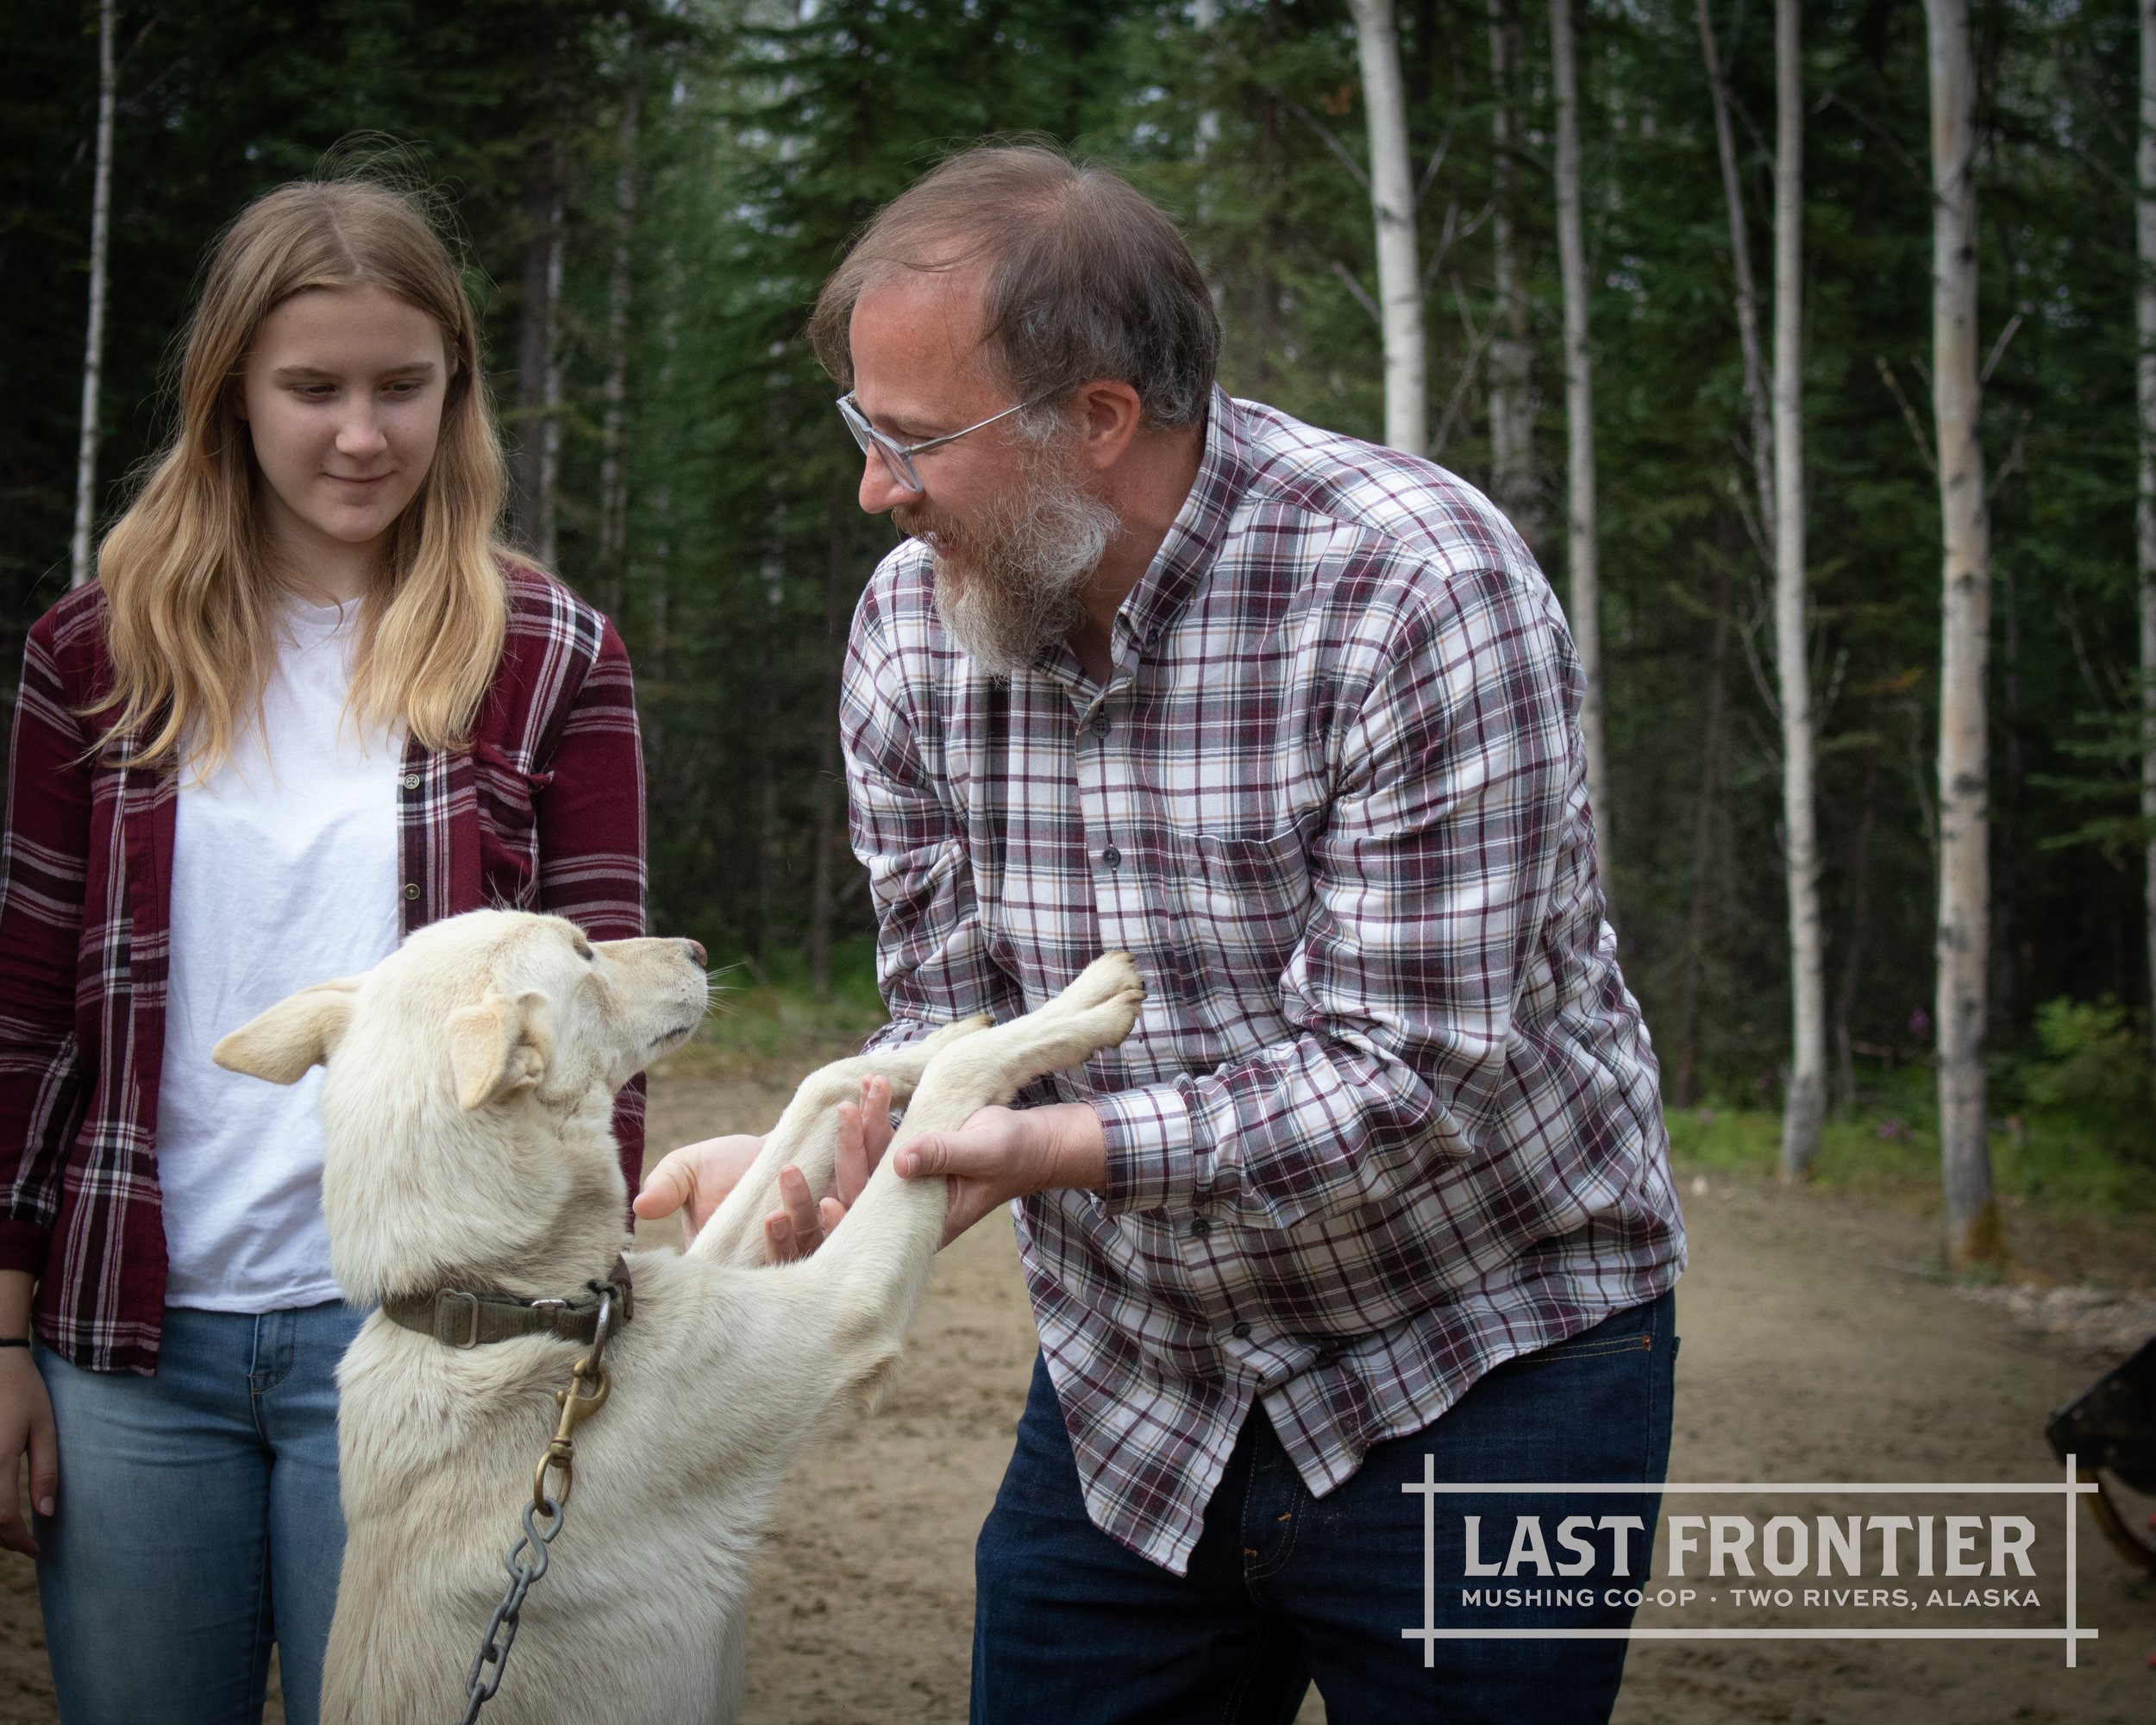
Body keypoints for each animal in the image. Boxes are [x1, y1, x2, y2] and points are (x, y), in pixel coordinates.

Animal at [218, 910, 1156, 1716]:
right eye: (582, 951)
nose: (701, 948)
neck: (513, 1305)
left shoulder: (701, 1269)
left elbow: (820, 1085)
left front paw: (938, 1035)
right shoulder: (840, 1309)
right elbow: (949, 1093)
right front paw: (1073, 1006)